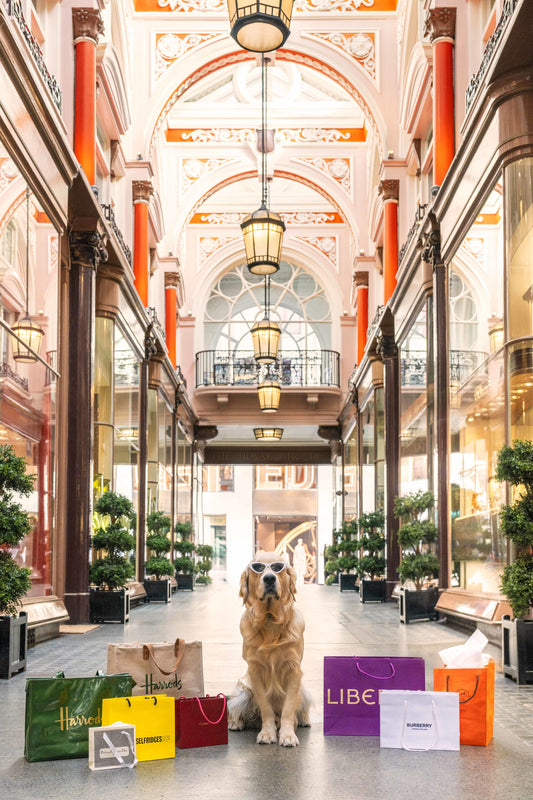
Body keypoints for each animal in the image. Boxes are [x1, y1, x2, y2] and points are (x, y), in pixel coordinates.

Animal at [225, 548, 310, 748]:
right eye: (258, 568)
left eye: (278, 567)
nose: (270, 578)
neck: (270, 621)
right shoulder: (255, 671)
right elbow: (265, 707)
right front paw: (267, 733)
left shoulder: (294, 670)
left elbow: (288, 709)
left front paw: (287, 735)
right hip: (243, 691)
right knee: (233, 707)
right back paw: (235, 723)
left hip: (304, 691)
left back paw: (304, 720)